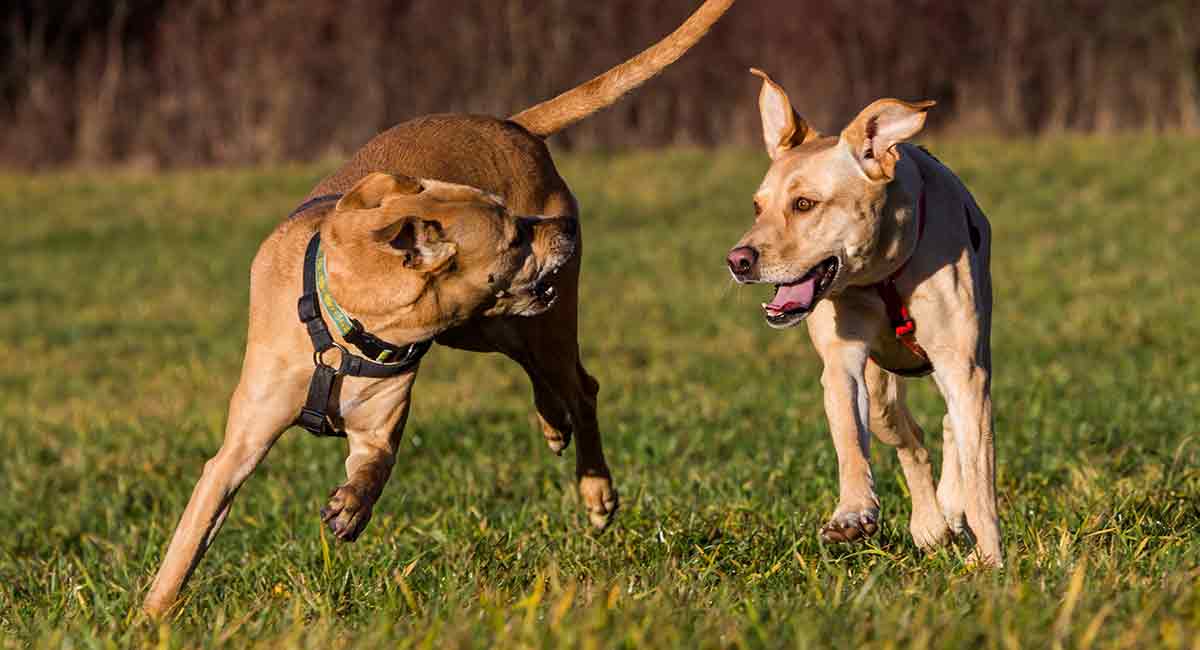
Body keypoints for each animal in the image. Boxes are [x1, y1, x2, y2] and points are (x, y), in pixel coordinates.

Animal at [145, 0, 734, 618]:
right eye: (514, 237)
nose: (567, 228)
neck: (345, 326)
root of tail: (513, 124)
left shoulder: (379, 428)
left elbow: (375, 465)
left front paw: (350, 507)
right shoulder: (239, 447)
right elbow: (192, 533)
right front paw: (152, 616)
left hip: (529, 322)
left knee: (581, 386)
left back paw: (595, 490)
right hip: (484, 326)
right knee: (553, 376)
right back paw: (553, 425)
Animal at [720, 70, 1003, 566]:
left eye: (804, 204)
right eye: (758, 206)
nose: (738, 261)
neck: (883, 271)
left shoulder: (964, 367)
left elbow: (980, 478)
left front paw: (992, 560)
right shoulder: (844, 360)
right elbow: (851, 436)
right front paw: (853, 512)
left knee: (954, 429)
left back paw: (951, 509)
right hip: (883, 393)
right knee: (912, 440)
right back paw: (931, 524)